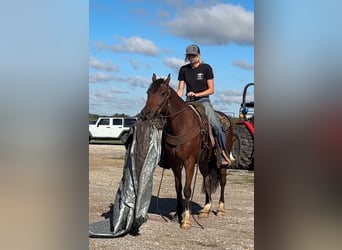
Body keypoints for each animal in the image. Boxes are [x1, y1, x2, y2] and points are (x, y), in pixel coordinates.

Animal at [141, 73, 232, 229]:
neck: (182, 125)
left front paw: (186, 220)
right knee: (207, 180)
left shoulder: (189, 162)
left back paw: (220, 209)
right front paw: (178, 214)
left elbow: (187, 189)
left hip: (221, 163)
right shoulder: (175, 163)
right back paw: (206, 209)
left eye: (162, 93)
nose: (146, 113)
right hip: (204, 162)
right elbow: (178, 188)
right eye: (148, 92)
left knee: (223, 181)